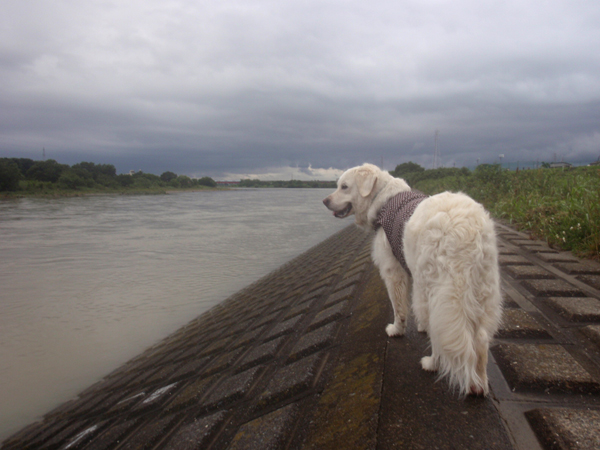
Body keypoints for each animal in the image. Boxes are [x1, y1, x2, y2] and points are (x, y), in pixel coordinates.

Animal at [324, 163, 502, 396]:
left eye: (343, 187)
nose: (325, 201)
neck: (382, 198)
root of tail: (465, 230)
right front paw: (420, 326)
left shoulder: (393, 272)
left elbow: (399, 308)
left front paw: (397, 330)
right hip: (481, 292)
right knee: (479, 339)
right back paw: (478, 385)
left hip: (436, 290)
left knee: (441, 334)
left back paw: (432, 364)